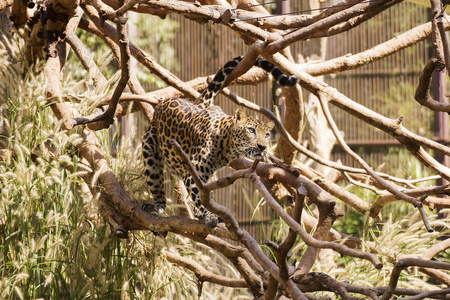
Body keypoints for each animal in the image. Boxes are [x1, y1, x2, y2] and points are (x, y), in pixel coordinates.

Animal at [142, 56, 298, 226]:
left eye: (267, 134)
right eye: (251, 130)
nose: (262, 147)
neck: (227, 147)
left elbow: (205, 196)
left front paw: (207, 213)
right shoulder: (194, 173)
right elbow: (201, 197)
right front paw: (210, 215)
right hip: (150, 150)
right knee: (156, 181)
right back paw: (156, 206)